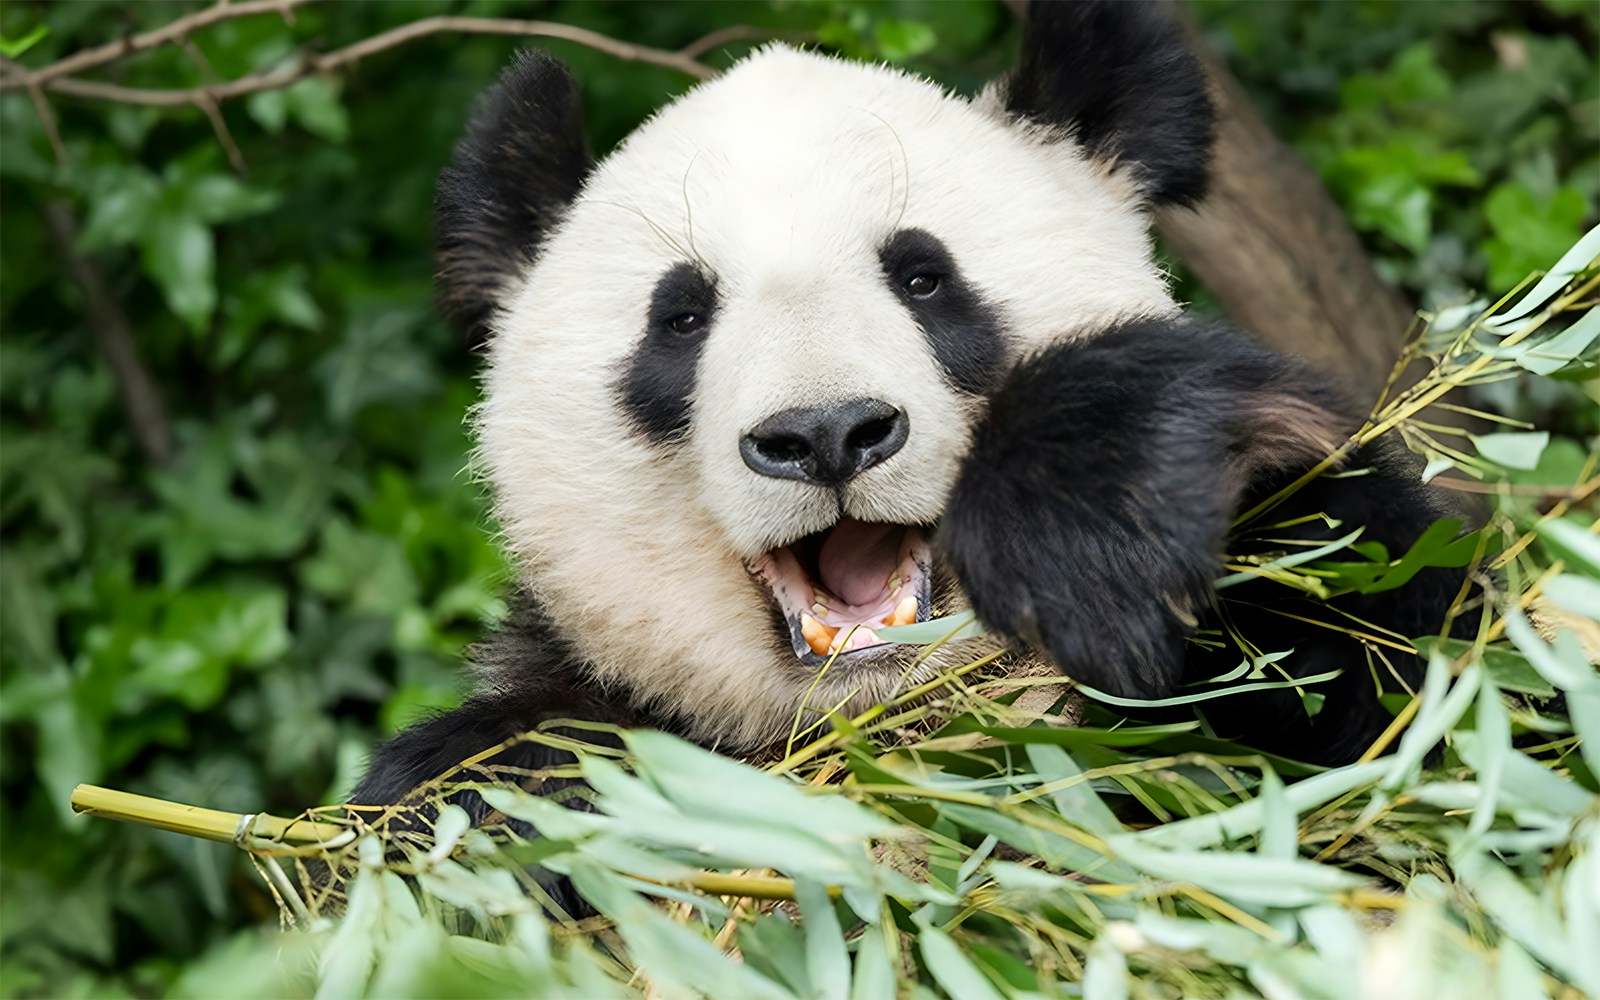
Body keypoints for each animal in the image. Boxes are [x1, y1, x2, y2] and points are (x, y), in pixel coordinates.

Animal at [352, 3, 1467, 840]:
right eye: (681, 318)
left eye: (924, 278)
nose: (824, 434)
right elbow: (480, 791)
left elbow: (1401, 682)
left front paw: (1084, 546)